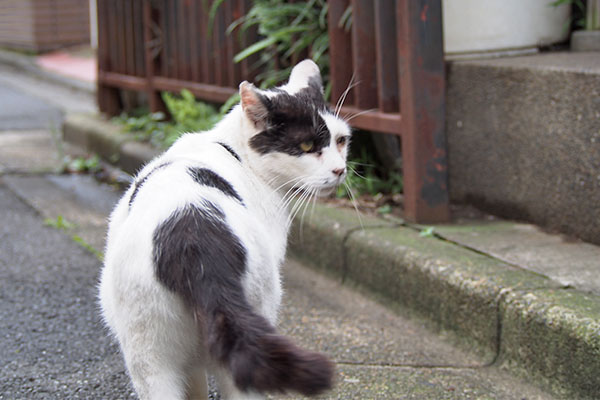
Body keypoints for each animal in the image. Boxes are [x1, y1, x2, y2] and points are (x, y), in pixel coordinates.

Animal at [98, 60, 352, 400]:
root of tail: (192, 236)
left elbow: (195, 388)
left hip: (150, 354)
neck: (235, 152)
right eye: (307, 145)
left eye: (341, 140)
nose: (340, 170)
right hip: (259, 305)